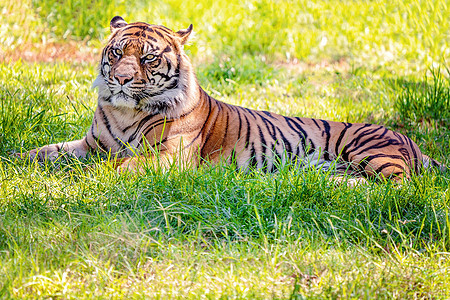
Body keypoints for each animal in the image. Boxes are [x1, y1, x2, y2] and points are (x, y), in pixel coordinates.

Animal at [21, 16, 442, 185]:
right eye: (117, 52)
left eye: (148, 59)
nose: (122, 79)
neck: (125, 110)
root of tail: (413, 143)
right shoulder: (90, 144)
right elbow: (46, 151)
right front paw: (18, 160)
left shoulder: (168, 157)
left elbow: (120, 165)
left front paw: (89, 177)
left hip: (368, 150)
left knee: (397, 185)